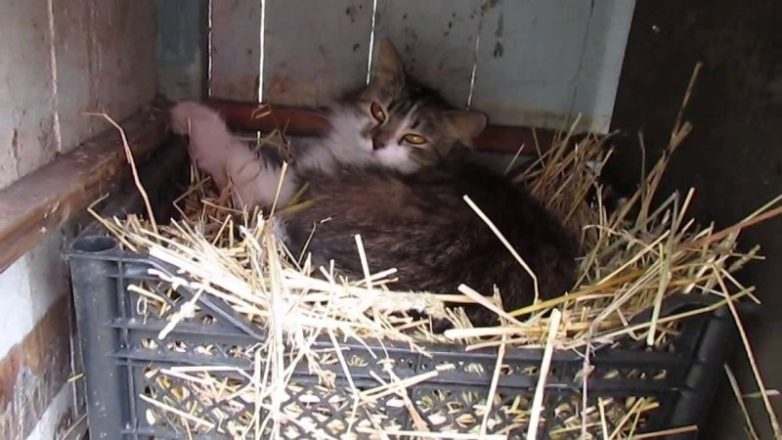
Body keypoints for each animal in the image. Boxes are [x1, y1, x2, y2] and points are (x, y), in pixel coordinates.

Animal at [170, 39, 487, 210]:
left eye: (415, 139)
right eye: (378, 112)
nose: (377, 142)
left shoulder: (292, 186)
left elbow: (238, 158)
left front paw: (188, 115)